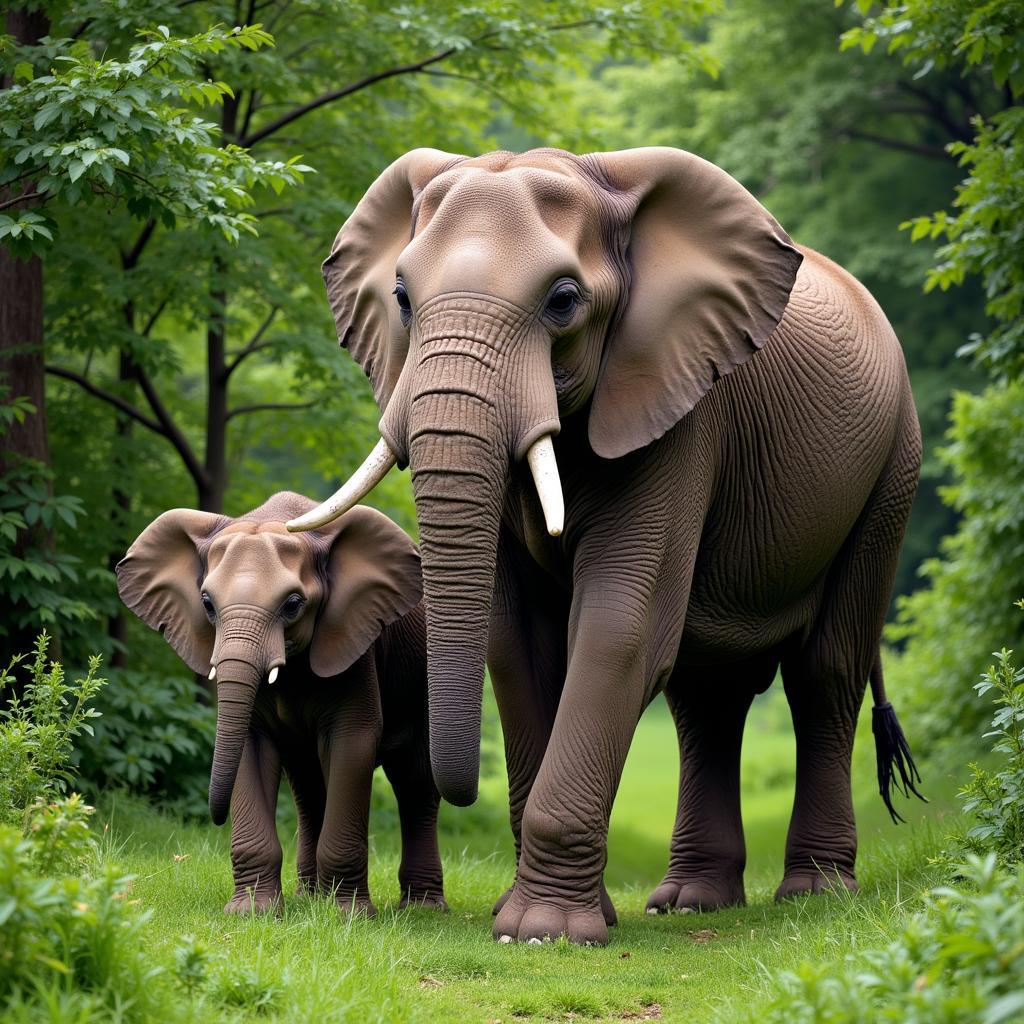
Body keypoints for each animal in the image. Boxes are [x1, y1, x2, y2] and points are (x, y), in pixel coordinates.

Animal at [117, 491, 444, 917]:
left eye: (292, 604)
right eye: (207, 603)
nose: (215, 818)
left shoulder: (354, 647)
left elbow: (353, 742)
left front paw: (348, 916)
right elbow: (248, 746)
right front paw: (252, 912)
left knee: (415, 783)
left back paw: (422, 908)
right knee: (308, 788)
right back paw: (310, 896)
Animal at [286, 144, 921, 942]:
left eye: (562, 300)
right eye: (401, 296)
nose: (454, 785)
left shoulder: (681, 411)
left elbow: (622, 626)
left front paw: (542, 931)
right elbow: (516, 641)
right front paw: (533, 918)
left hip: (893, 467)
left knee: (824, 673)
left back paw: (813, 893)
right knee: (705, 696)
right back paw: (691, 901)